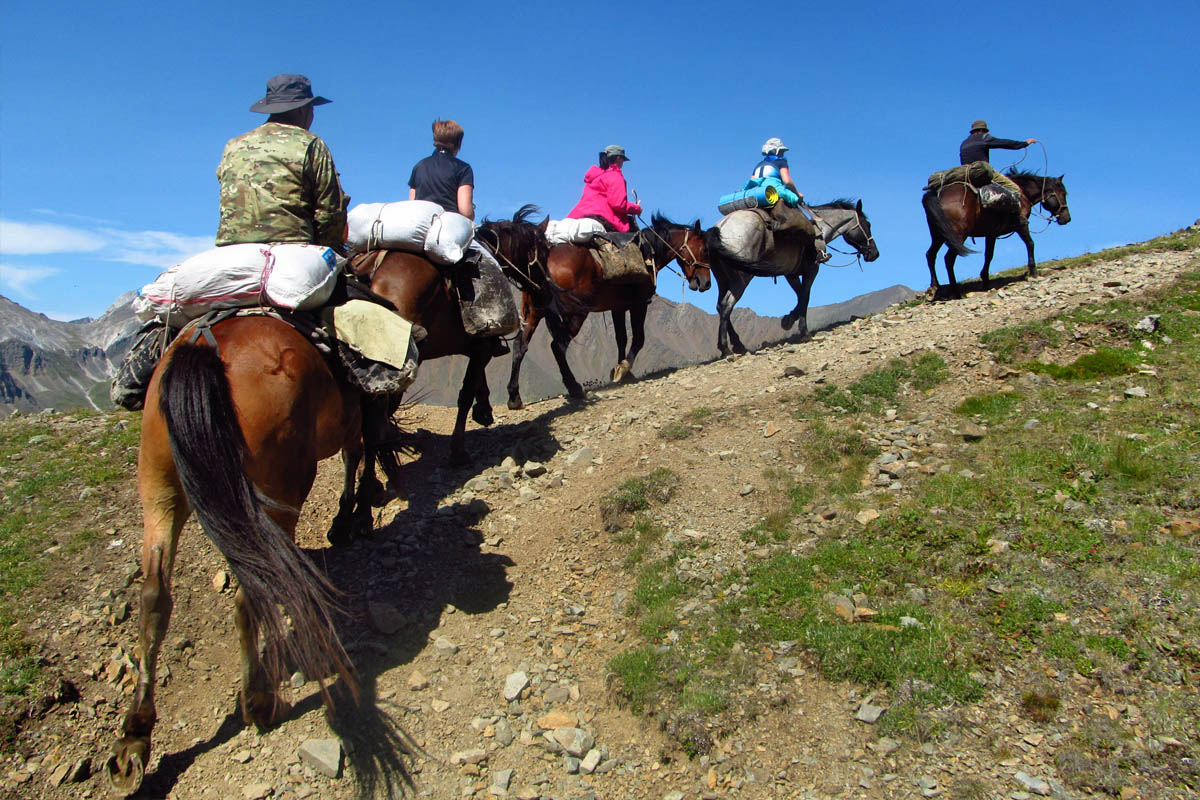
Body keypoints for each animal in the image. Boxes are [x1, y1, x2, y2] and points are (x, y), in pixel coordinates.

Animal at [106, 311, 360, 796]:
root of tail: (206, 346)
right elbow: (359, 454)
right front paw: (351, 519)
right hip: (276, 497)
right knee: (252, 590)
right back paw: (259, 699)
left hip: (158, 487)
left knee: (154, 596)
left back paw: (134, 737)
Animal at [482, 211, 705, 410]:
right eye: (704, 248)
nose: (705, 283)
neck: (648, 252)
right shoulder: (639, 304)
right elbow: (638, 338)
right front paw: (624, 369)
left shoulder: (618, 307)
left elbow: (621, 338)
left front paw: (620, 370)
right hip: (575, 313)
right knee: (558, 346)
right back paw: (574, 388)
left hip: (533, 311)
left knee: (520, 345)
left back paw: (514, 397)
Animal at [705, 199, 878, 355]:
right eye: (867, 225)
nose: (874, 253)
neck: (819, 231)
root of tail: (722, 227)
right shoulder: (811, 270)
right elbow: (805, 296)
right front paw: (804, 332)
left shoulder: (791, 274)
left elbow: (800, 295)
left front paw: (788, 319)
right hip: (741, 279)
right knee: (726, 305)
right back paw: (727, 350)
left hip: (723, 280)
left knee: (720, 306)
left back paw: (736, 346)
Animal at [921, 167, 1075, 296]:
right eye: (1063, 193)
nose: (1067, 218)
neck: (1022, 193)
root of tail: (938, 195)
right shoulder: (1021, 226)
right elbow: (1030, 243)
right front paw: (1033, 271)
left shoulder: (991, 234)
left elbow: (989, 255)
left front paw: (985, 280)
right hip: (959, 235)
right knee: (948, 259)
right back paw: (956, 291)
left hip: (939, 235)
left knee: (930, 255)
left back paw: (935, 287)